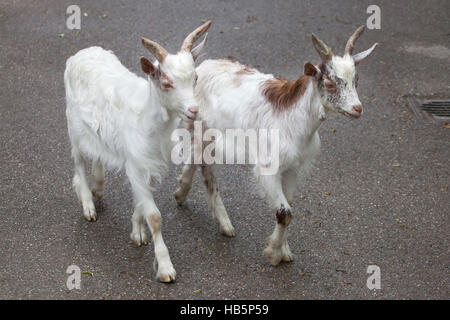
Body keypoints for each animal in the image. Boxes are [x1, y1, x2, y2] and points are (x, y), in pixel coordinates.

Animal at [64, 21, 212, 282]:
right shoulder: (136, 164)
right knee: (78, 162)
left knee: (97, 155)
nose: (194, 110)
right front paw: (165, 268)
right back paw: (88, 204)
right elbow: (154, 216)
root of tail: (81, 53)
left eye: (194, 77)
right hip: (74, 127)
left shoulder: (147, 165)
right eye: (166, 83)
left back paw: (98, 187)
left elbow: (141, 203)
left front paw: (137, 233)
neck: (149, 121)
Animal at [174, 25, 378, 264]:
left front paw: (284, 250)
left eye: (356, 80)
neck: (295, 121)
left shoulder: (293, 168)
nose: (357, 108)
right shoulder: (268, 168)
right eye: (329, 83)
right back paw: (224, 224)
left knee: (195, 157)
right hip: (203, 130)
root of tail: (201, 67)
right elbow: (284, 213)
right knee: (206, 168)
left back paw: (181, 192)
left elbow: (288, 205)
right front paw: (274, 253)